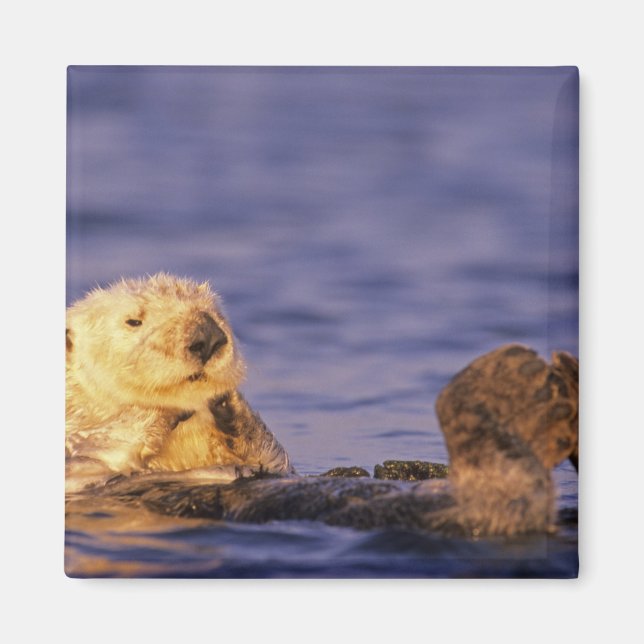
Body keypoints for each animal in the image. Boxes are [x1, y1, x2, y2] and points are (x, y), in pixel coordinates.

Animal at [65, 273, 292, 492]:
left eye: (217, 313)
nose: (207, 334)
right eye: (133, 321)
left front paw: (229, 402)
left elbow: (277, 462)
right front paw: (157, 411)